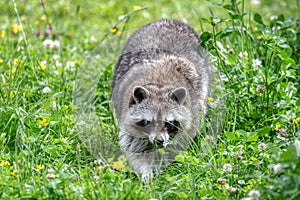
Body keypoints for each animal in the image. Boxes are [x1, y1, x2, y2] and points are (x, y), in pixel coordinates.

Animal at [111, 19, 210, 183]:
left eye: (169, 123)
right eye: (147, 122)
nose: (160, 140)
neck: (159, 86)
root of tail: (167, 20)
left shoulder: (193, 111)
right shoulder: (129, 121)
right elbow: (134, 148)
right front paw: (146, 171)